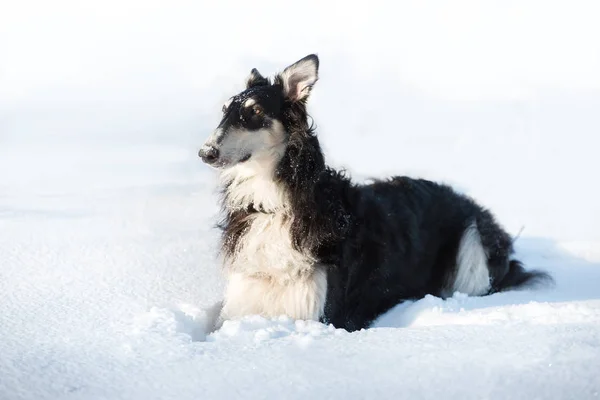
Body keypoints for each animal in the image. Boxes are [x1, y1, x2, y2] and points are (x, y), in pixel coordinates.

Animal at [199, 54, 552, 332]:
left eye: (255, 112)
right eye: (224, 110)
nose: (206, 153)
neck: (273, 203)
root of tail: (466, 200)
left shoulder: (319, 313)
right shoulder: (241, 302)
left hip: (472, 245)